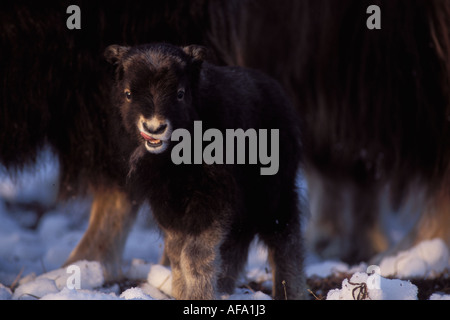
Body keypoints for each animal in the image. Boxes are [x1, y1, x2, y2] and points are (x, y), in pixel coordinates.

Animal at [103, 43, 304, 300]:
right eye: (128, 93)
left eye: (180, 93)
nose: (154, 128)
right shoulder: (167, 203)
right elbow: (176, 251)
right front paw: (182, 293)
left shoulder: (212, 197)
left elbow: (194, 253)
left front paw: (198, 296)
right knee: (237, 241)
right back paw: (225, 288)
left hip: (273, 193)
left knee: (284, 236)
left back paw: (289, 291)